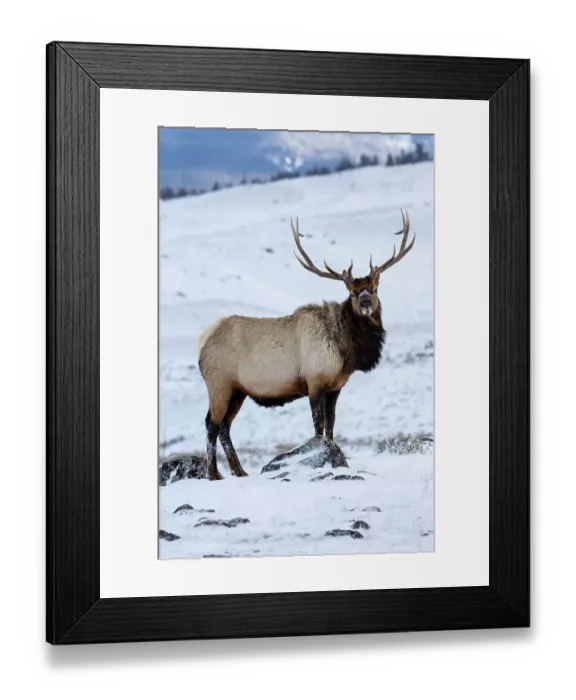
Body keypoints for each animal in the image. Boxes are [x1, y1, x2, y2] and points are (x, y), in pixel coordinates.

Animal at [197, 210, 416, 480]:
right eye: (353, 292)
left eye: (374, 289)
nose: (365, 303)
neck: (345, 351)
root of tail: (202, 342)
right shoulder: (314, 382)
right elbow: (318, 429)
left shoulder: (335, 387)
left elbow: (331, 428)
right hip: (219, 385)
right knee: (211, 424)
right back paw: (213, 473)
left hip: (238, 391)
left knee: (225, 427)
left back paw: (239, 471)